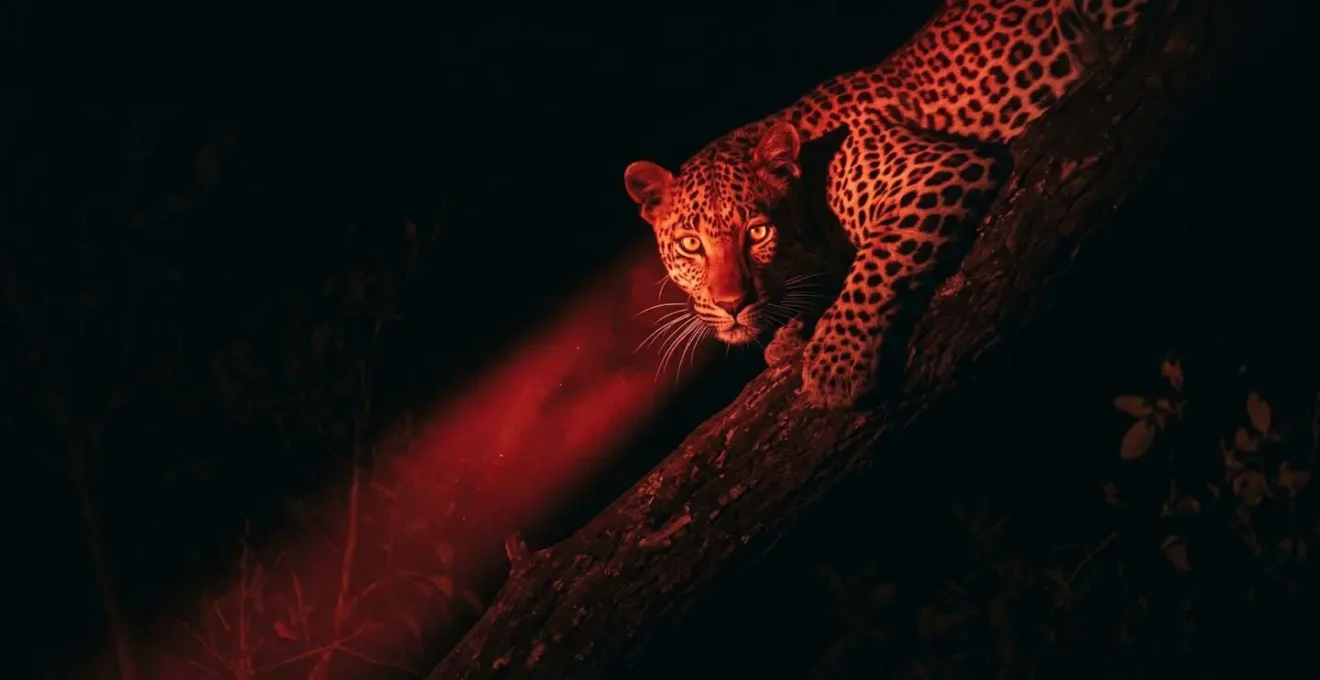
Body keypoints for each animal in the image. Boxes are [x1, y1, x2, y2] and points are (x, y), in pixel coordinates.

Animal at [624, 0, 1148, 409]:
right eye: (691, 244)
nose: (731, 305)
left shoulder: (938, 167)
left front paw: (835, 363)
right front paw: (787, 335)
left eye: (757, 232)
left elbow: (877, 261)